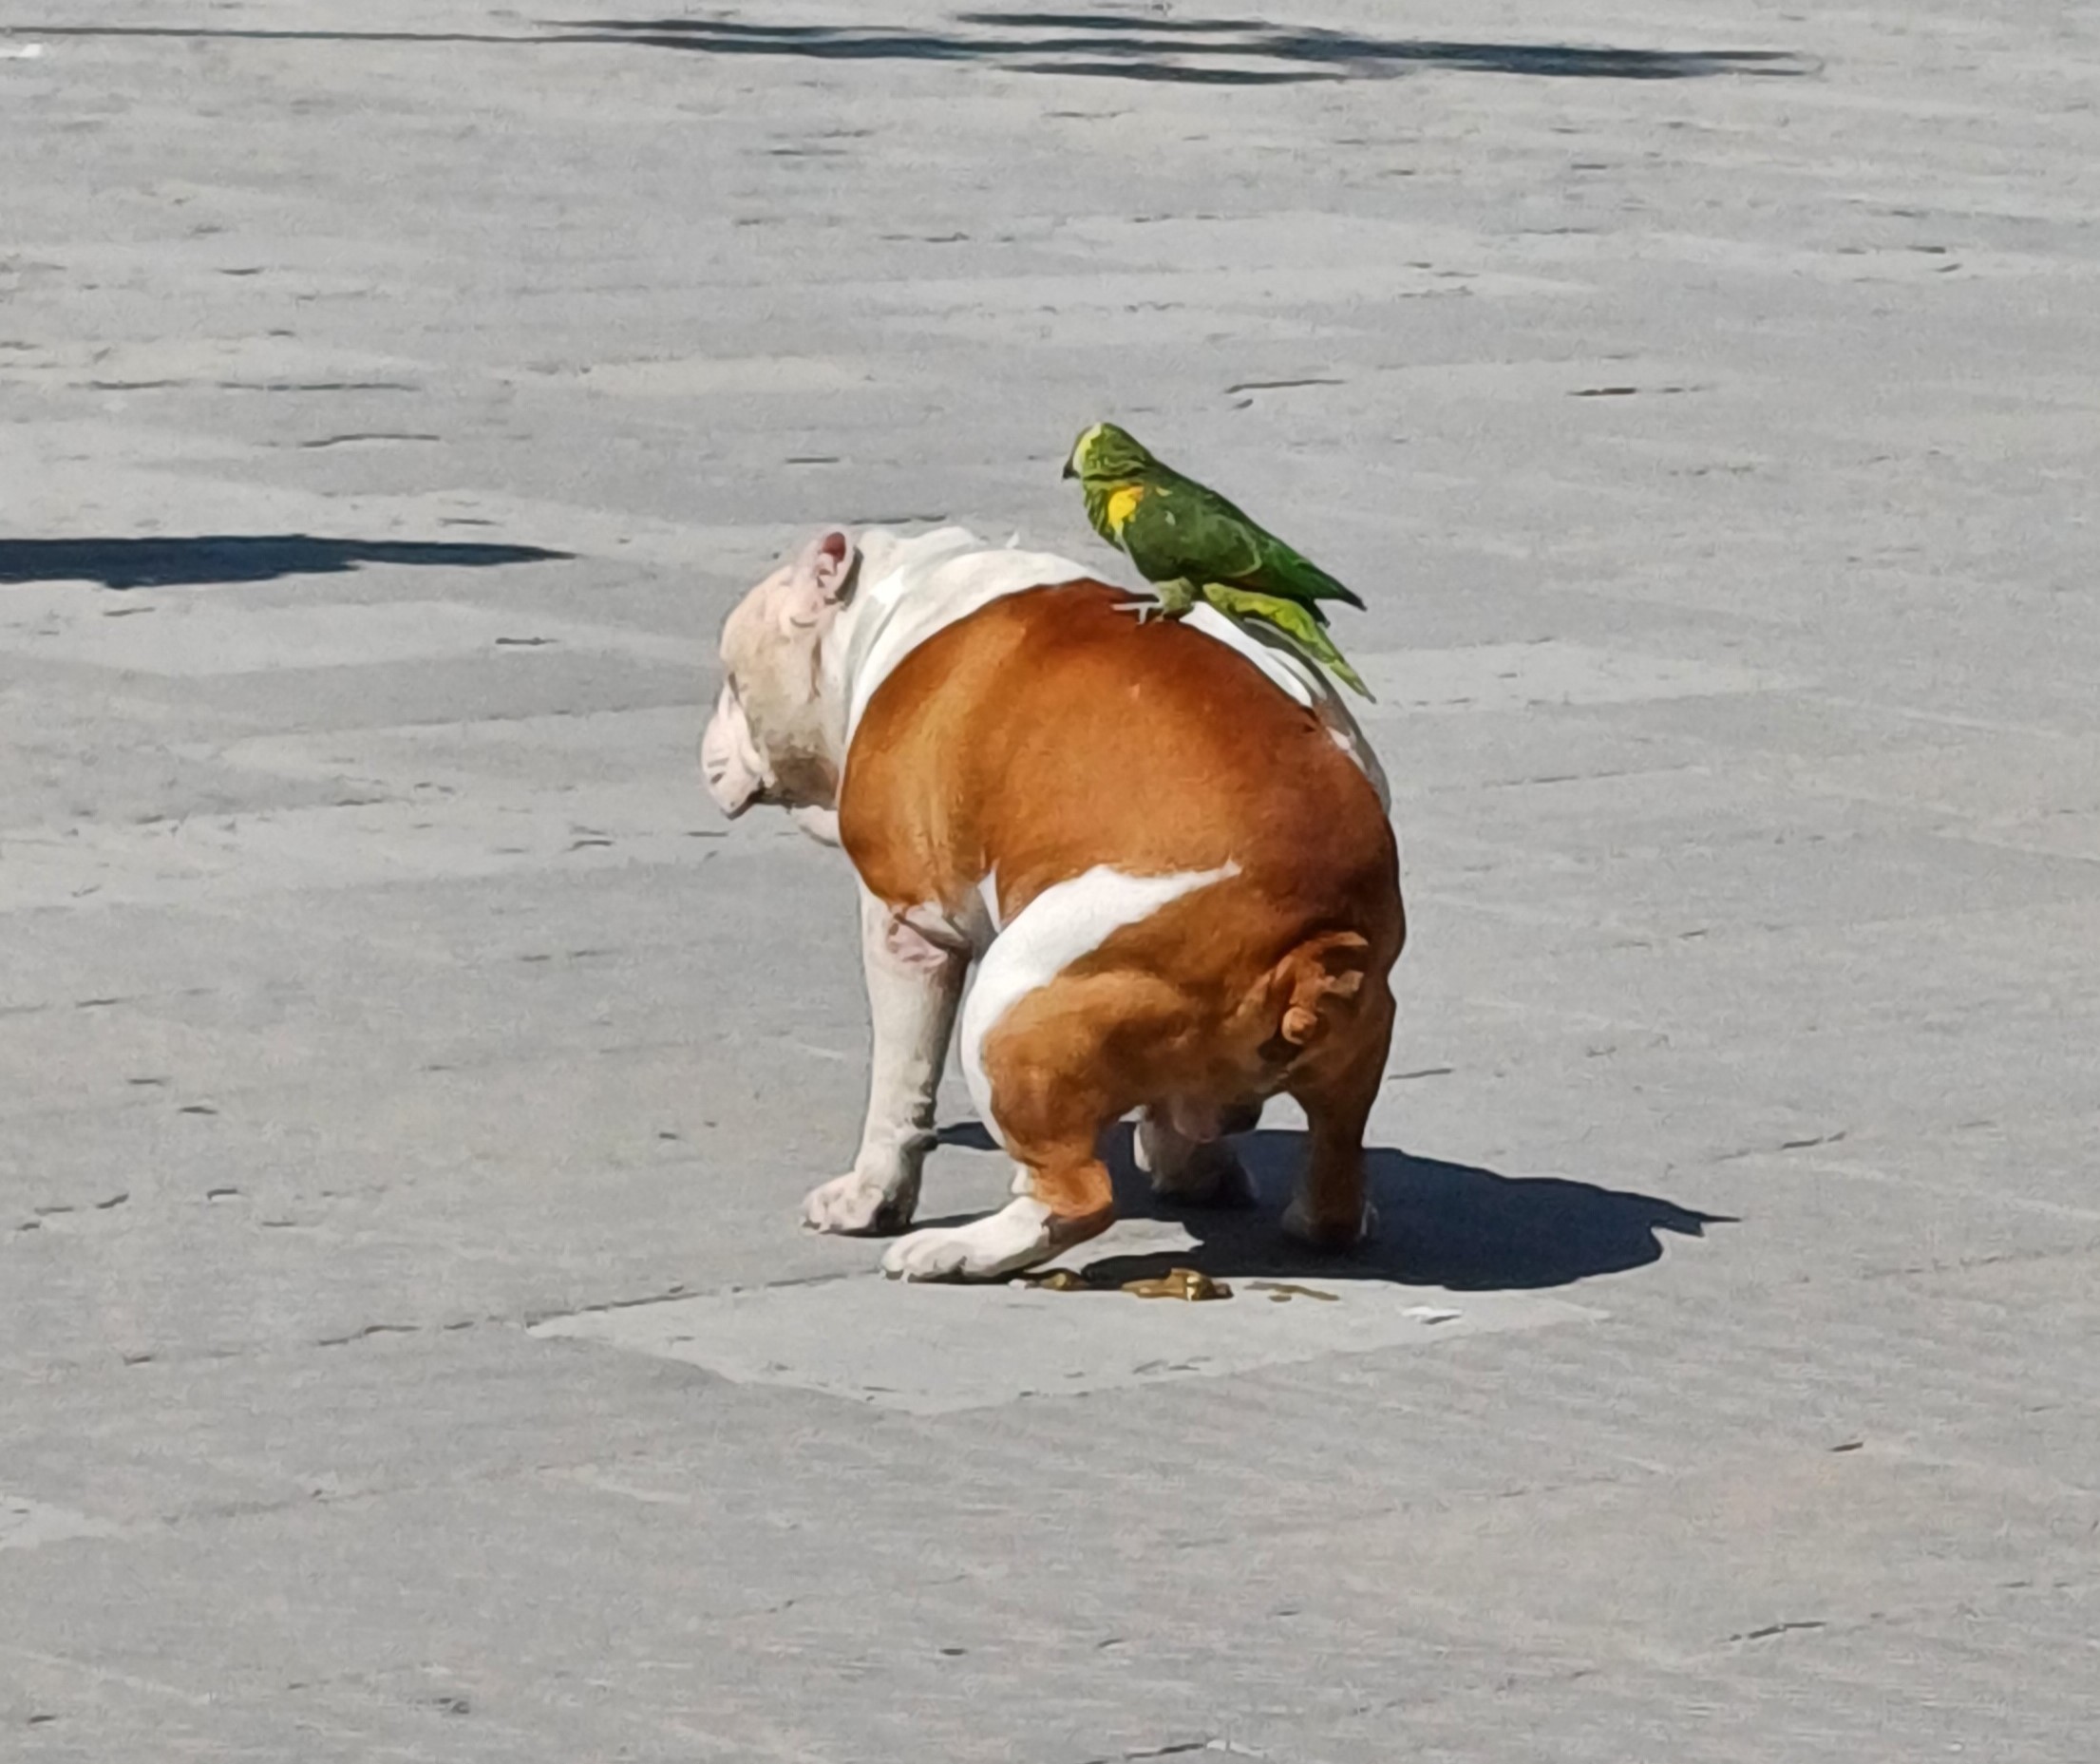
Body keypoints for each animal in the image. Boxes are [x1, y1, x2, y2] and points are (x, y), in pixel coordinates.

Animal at [702, 525, 1403, 1280]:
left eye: (731, 680)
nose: (706, 748)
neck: (898, 601)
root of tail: (1311, 942)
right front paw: (1193, 1166)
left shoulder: (906, 924)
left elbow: (898, 1083)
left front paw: (867, 1197)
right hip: (1363, 1034)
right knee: (1336, 1162)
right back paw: (1319, 1216)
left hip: (1003, 1007)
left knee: (1077, 1195)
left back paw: (958, 1249)